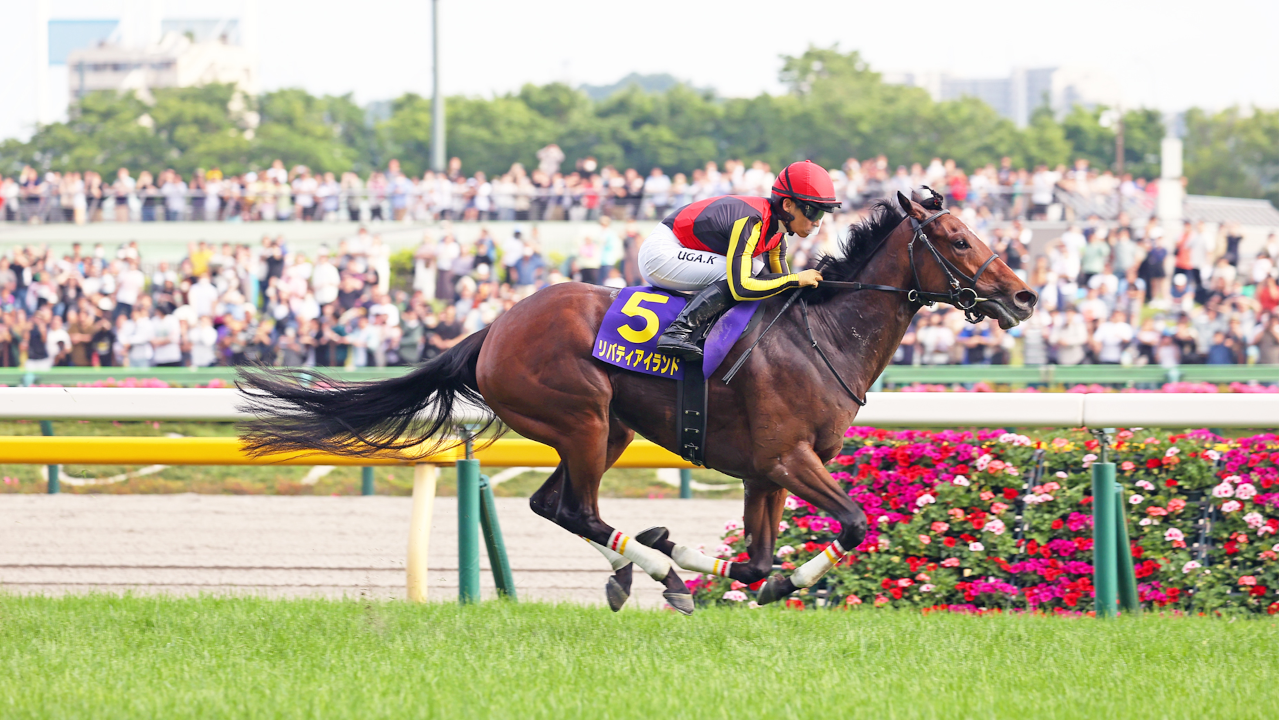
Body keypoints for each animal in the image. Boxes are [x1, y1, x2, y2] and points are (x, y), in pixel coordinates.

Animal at [238, 190, 1037, 613]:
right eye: (958, 239)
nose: (1025, 296)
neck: (824, 335)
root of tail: (494, 327)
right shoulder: (788, 459)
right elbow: (851, 525)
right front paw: (769, 578)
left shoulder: (765, 471)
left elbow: (756, 556)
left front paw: (752, 575)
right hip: (583, 418)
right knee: (577, 508)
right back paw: (659, 571)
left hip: (607, 430)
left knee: (554, 504)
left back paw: (649, 563)